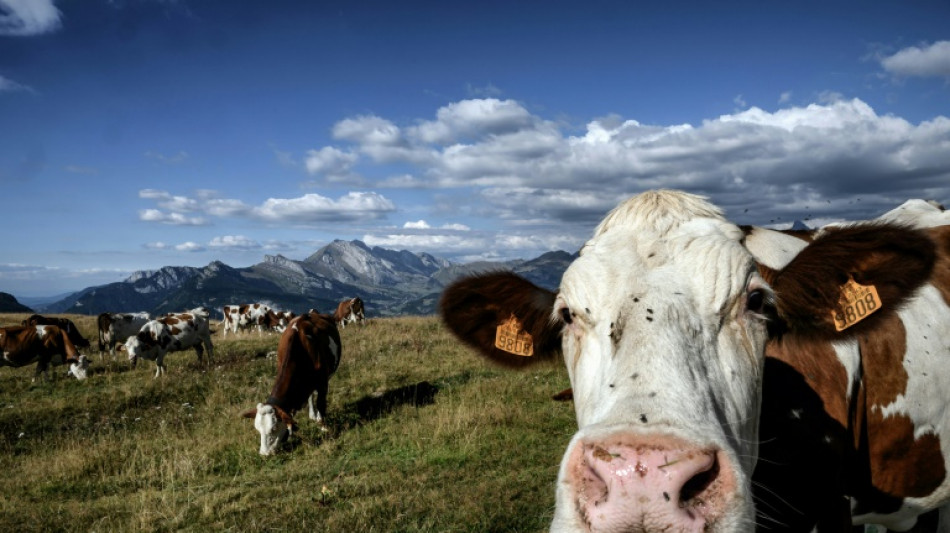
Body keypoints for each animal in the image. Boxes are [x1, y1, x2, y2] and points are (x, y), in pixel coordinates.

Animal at [241, 312, 341, 455]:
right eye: (258, 429)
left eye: (274, 428)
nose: (264, 454)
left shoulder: (322, 382)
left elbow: (321, 404)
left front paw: (324, 427)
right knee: (310, 395)